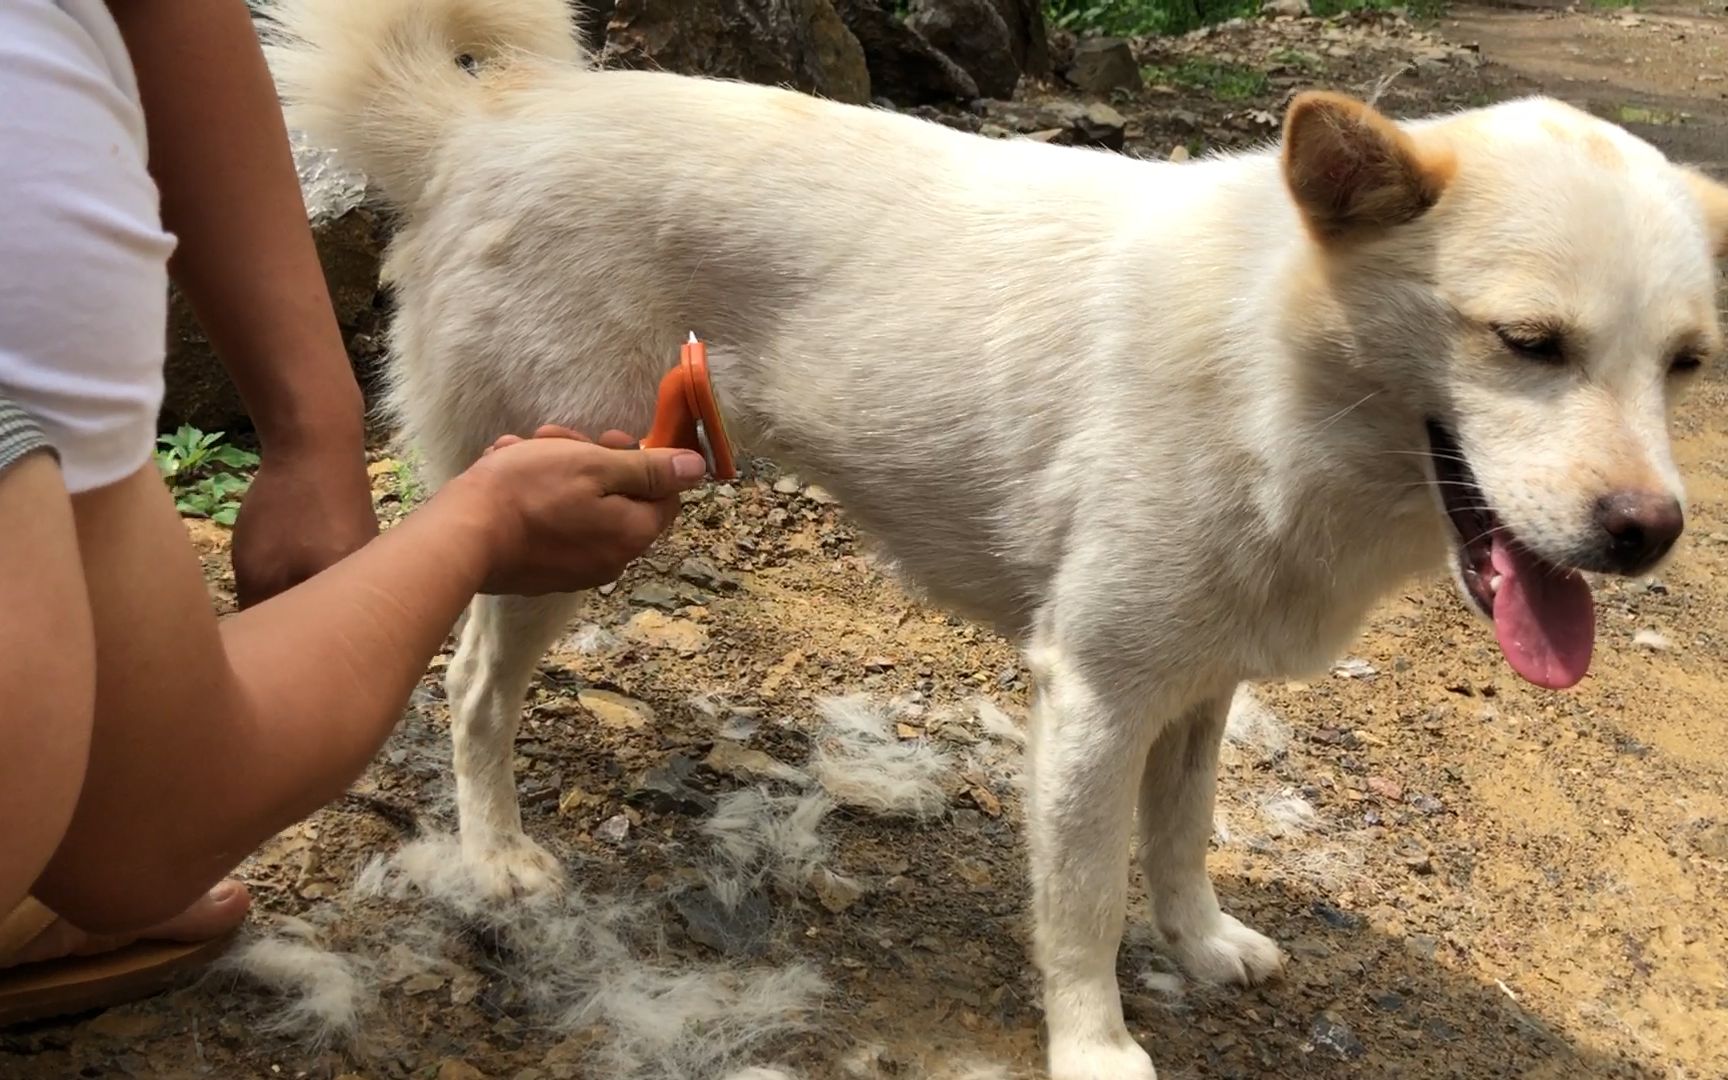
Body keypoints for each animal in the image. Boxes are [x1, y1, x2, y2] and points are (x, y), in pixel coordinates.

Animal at [262, 4, 1721, 1071]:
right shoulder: (1093, 701)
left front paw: (1201, 948)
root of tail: (485, 123)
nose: (1649, 536)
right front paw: (1097, 1049)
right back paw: (493, 856)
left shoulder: (1199, 690)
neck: (1266, 360)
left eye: (1687, 364)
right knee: (470, 687)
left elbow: (1181, 844)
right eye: (1528, 342)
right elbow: (1080, 910)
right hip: (573, 516)